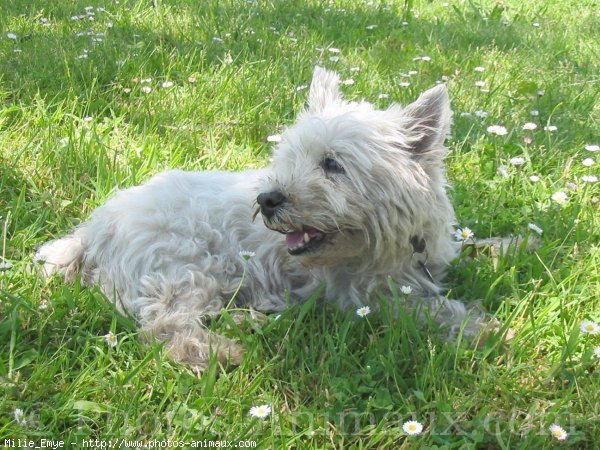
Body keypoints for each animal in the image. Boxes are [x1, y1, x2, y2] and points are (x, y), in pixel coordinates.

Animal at [35, 67, 488, 372]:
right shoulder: (363, 295)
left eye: (332, 164)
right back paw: (225, 350)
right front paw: (483, 329)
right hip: (188, 263)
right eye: (289, 158)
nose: (267, 199)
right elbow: (432, 310)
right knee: (167, 326)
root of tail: (94, 230)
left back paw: (251, 319)